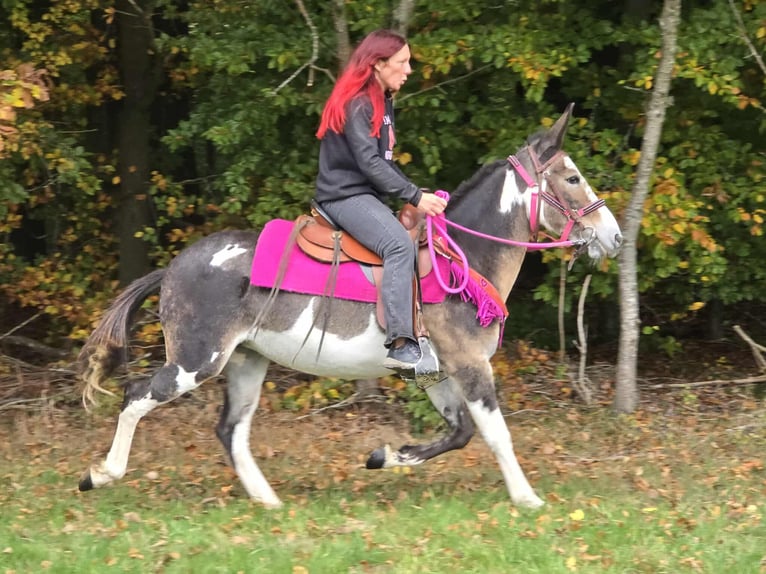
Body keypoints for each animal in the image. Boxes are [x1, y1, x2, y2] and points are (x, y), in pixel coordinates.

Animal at [78, 104, 622, 509]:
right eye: (572, 178)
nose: (614, 236)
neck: (461, 259)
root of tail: (172, 268)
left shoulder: (439, 372)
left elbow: (460, 432)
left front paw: (385, 456)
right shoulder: (470, 365)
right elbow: (494, 433)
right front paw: (527, 498)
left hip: (247, 361)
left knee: (230, 429)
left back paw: (267, 499)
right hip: (196, 360)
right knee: (136, 396)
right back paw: (100, 474)